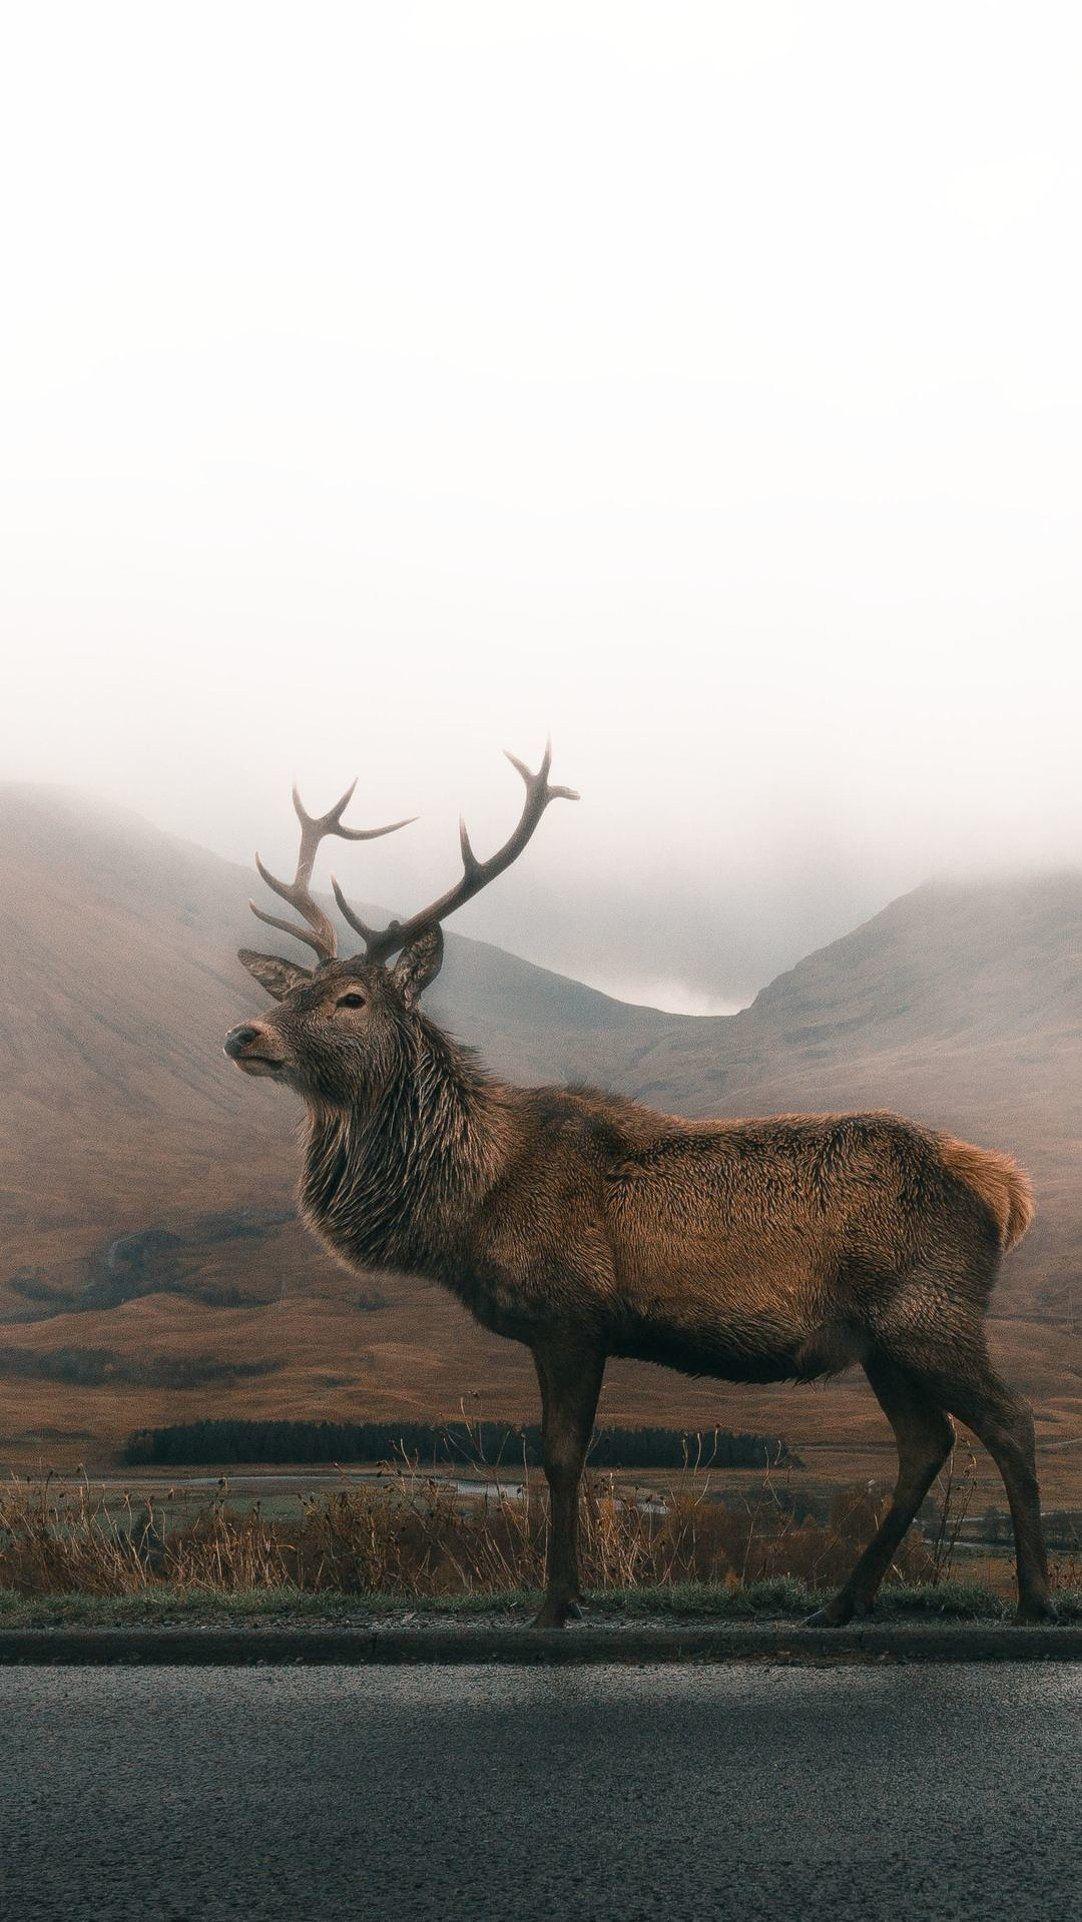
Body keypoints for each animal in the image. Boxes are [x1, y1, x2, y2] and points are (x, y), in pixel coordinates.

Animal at [224, 746, 1054, 1628]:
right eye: (289, 992)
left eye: (351, 998)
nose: (244, 1034)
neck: (470, 1201)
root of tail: (1005, 1189)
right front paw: (570, 1592)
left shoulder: (572, 1314)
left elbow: (560, 1458)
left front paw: (555, 1603)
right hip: (880, 1339)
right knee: (926, 1443)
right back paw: (840, 1603)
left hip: (931, 1311)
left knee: (1011, 1419)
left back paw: (1033, 1596)